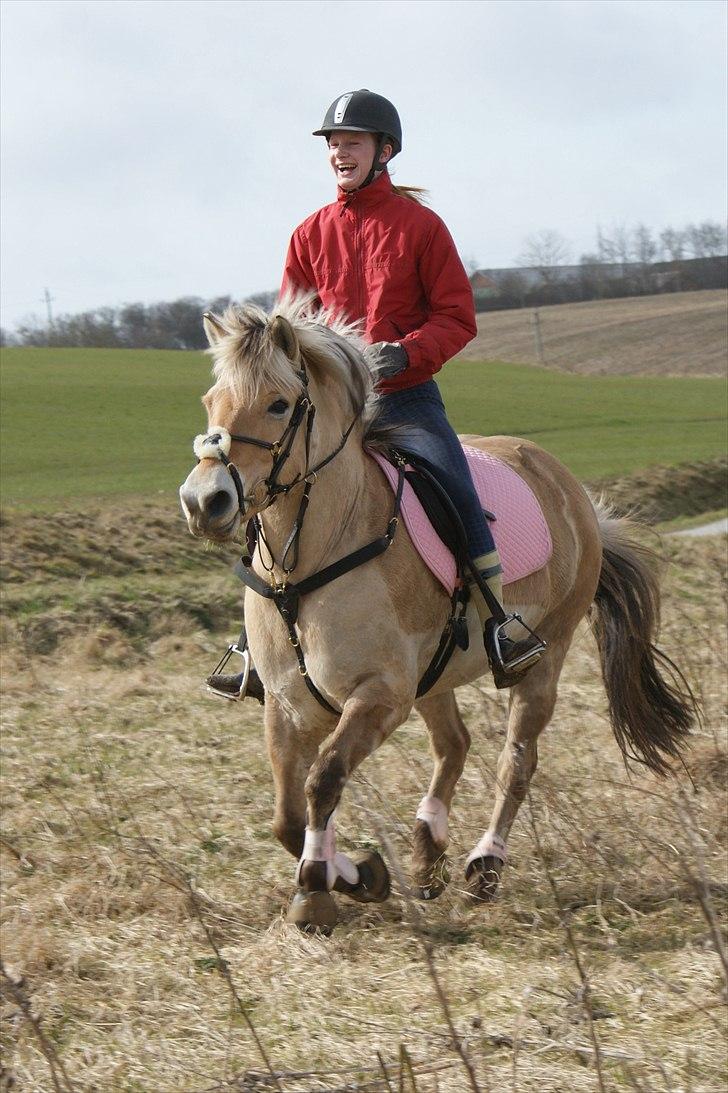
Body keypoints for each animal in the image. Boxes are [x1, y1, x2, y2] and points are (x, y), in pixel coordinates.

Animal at [178, 297, 695, 931]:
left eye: (278, 404)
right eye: (211, 402)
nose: (204, 501)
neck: (310, 564)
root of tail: (571, 492)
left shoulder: (380, 695)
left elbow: (324, 780)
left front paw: (325, 881)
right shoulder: (288, 704)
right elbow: (286, 816)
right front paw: (354, 877)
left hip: (541, 662)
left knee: (516, 761)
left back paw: (484, 864)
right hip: (436, 676)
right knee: (455, 744)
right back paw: (428, 851)